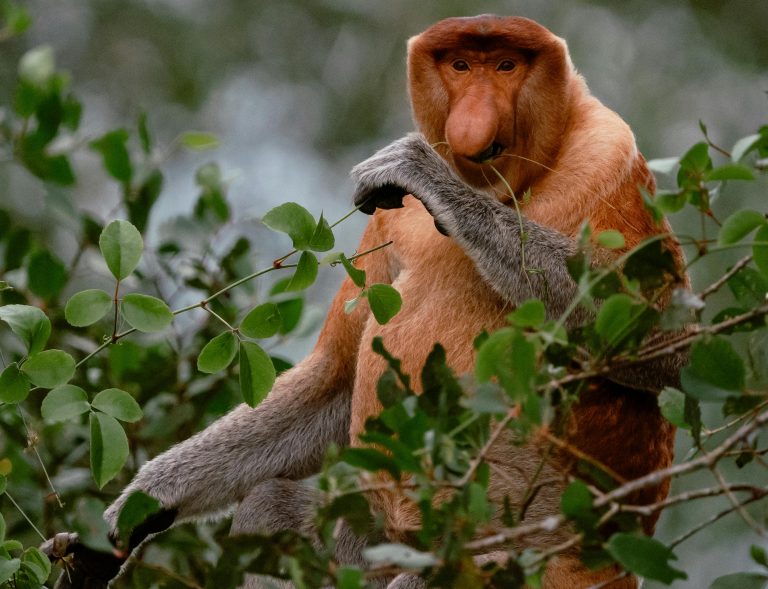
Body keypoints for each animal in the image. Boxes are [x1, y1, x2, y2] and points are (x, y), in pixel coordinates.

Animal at [45, 15, 687, 589]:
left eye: (506, 66)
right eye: (461, 66)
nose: (471, 121)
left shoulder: (609, 159)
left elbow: (667, 341)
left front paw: (424, 172)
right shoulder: (383, 223)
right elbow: (333, 380)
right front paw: (135, 511)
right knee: (274, 512)